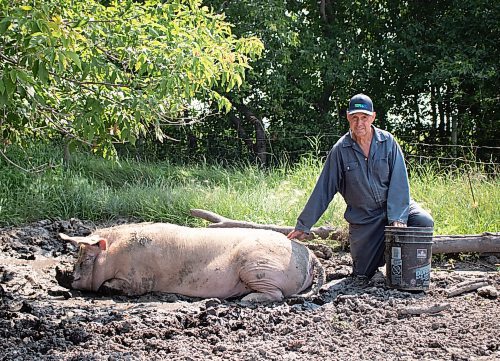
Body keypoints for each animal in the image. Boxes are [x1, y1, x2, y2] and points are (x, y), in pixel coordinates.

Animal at [56, 222, 326, 300]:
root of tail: (311, 256)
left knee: (277, 295)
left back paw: (246, 300)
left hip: (258, 267)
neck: (113, 255)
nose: (62, 275)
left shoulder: (138, 280)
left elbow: (112, 287)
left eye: (85, 257)